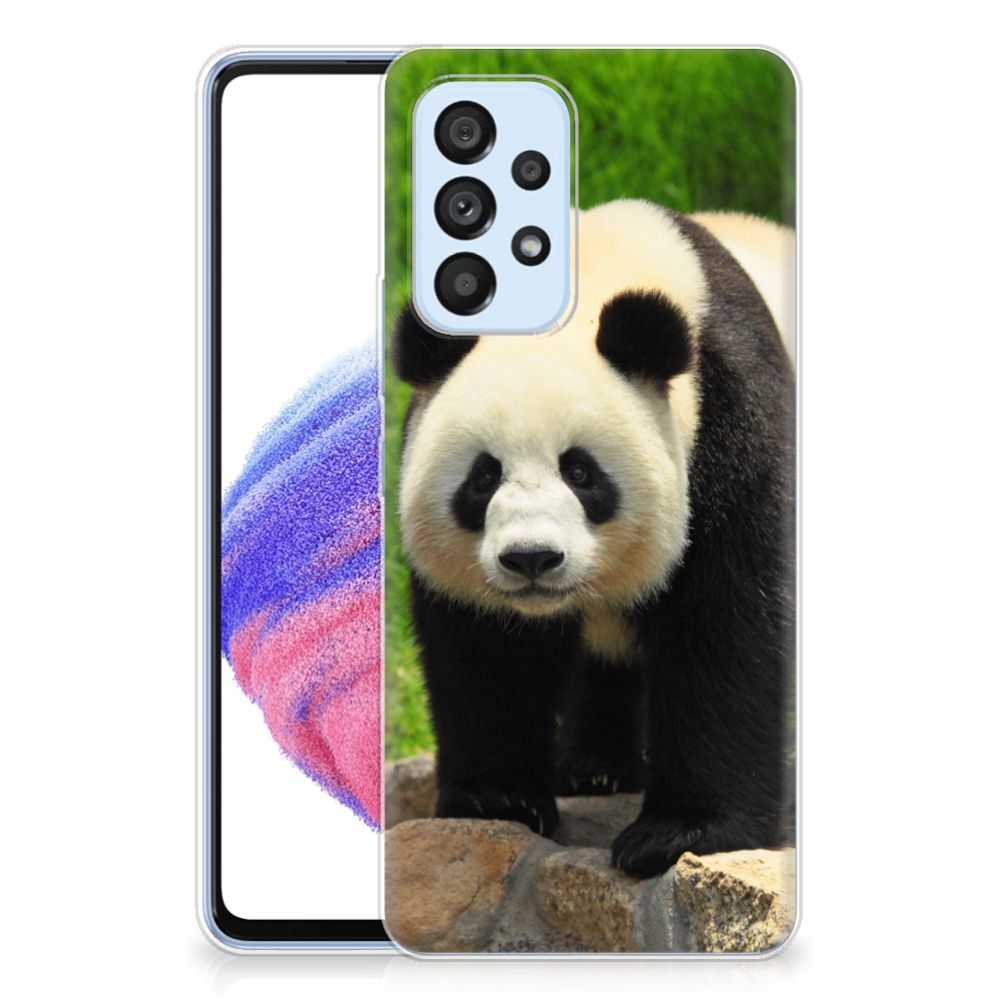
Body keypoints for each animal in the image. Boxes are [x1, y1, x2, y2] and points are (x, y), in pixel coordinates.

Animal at [390, 199, 795, 877]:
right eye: (483, 476)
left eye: (580, 472)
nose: (531, 559)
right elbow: (485, 650)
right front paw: (499, 799)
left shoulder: (732, 421)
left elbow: (727, 625)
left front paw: (678, 832)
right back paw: (594, 768)